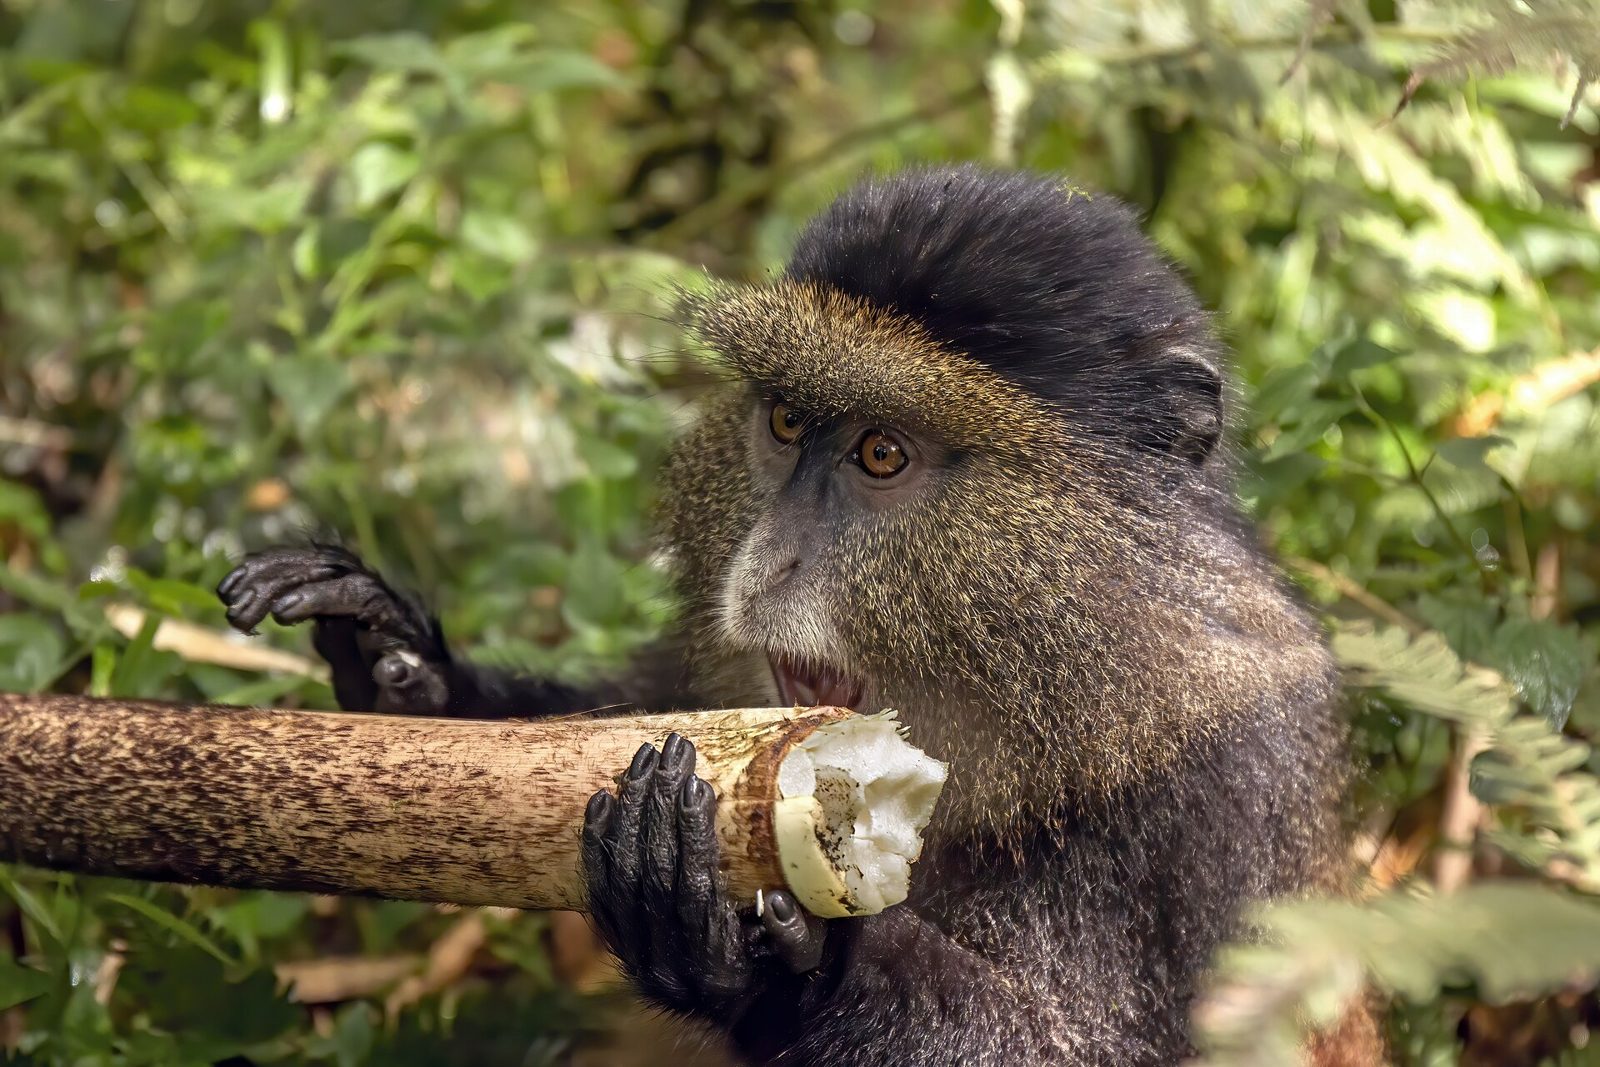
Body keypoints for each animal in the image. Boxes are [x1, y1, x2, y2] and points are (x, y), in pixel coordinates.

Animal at [217, 165, 1381, 1065]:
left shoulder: (1221, 787)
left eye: (882, 452)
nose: (763, 562)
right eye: (783, 420)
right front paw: (398, 660)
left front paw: (776, 966)